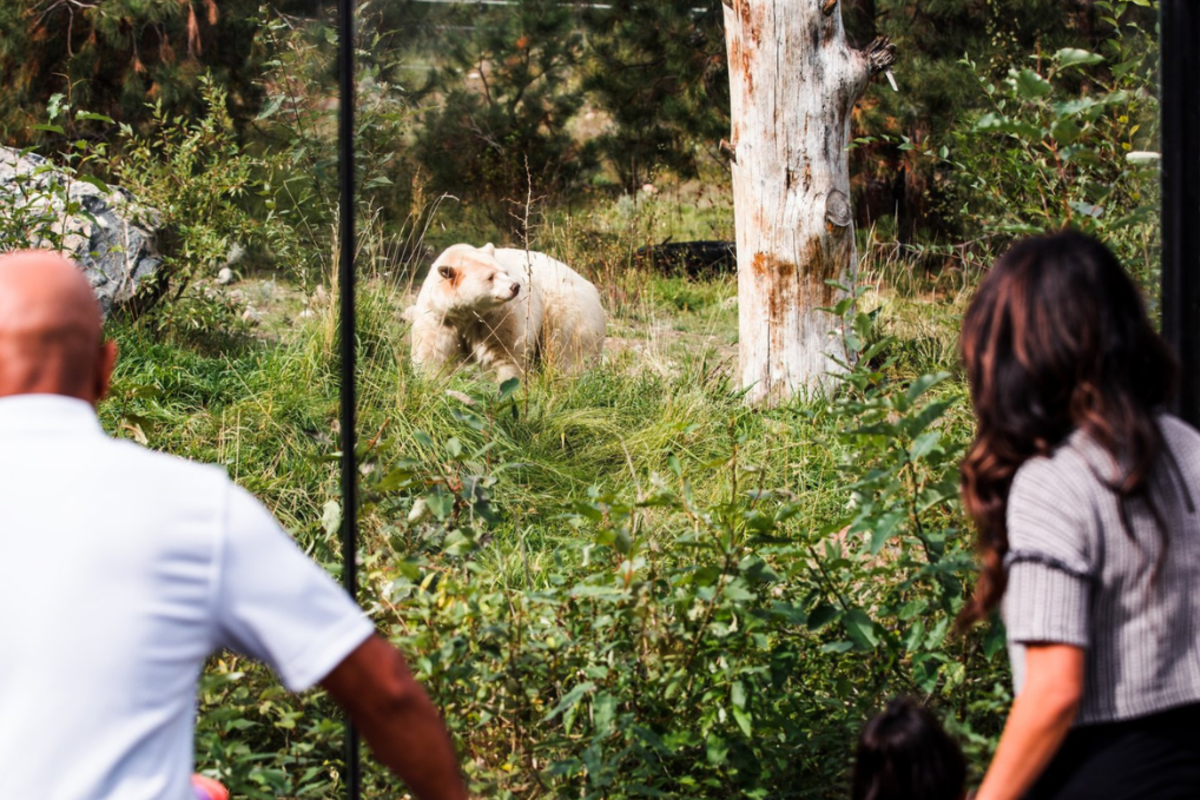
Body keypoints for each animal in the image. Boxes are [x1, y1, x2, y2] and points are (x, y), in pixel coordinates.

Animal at [408, 242, 604, 383]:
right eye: (490, 277)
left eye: (505, 271)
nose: (515, 286)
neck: (466, 314)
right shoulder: (439, 318)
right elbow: (433, 355)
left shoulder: (496, 317)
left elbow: (506, 354)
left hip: (566, 308)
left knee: (568, 350)